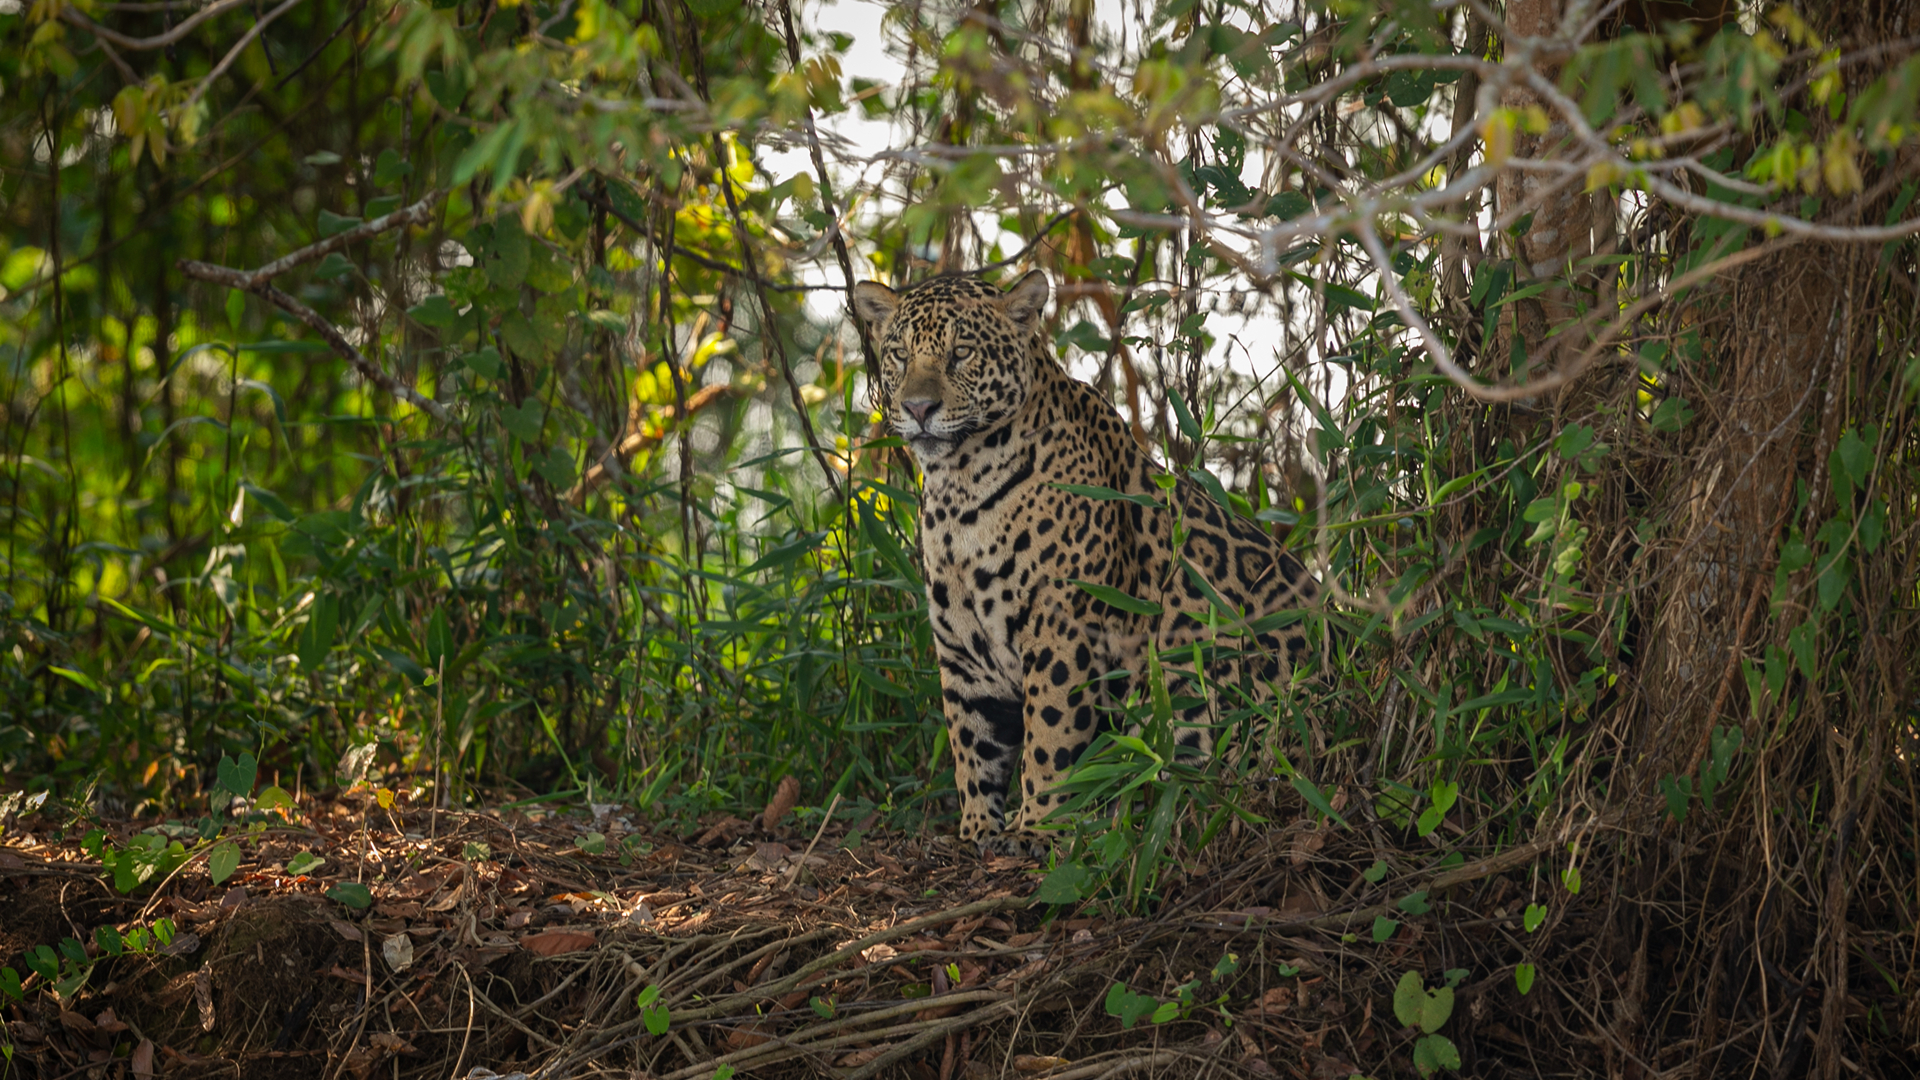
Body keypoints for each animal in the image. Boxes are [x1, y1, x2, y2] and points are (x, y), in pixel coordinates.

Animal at [852, 270, 1320, 857]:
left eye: (961, 353)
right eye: (899, 355)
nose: (917, 409)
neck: (960, 489)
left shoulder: (1062, 624)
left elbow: (1050, 732)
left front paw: (1039, 826)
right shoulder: (961, 645)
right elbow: (971, 741)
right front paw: (978, 829)